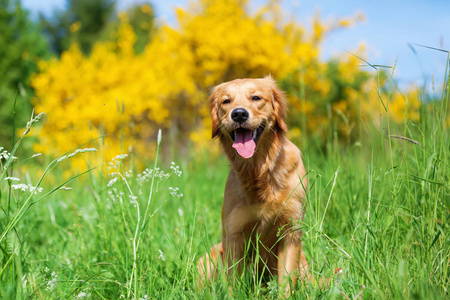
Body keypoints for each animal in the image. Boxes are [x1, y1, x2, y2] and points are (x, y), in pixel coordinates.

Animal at [198, 76, 310, 294]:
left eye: (256, 97)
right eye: (226, 101)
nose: (239, 114)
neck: (258, 171)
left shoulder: (290, 232)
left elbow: (286, 282)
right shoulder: (234, 235)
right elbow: (233, 283)